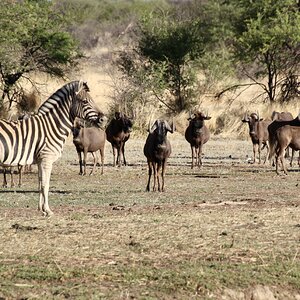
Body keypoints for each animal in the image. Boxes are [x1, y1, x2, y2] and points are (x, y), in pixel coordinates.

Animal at [0, 79, 106, 216]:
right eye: (85, 101)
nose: (104, 120)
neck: (52, 126)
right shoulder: (47, 158)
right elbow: (46, 184)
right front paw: (48, 210)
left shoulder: (40, 160)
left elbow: (40, 183)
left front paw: (41, 209)